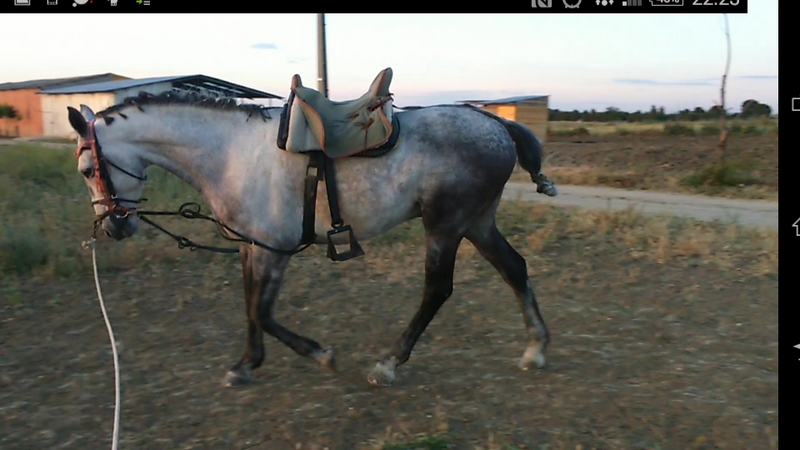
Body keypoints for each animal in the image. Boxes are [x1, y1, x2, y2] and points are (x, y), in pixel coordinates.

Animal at [67, 89, 558, 387]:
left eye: (88, 170)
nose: (113, 227)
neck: (230, 154)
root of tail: (496, 124)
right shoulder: (252, 247)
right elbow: (249, 304)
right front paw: (246, 365)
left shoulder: (276, 251)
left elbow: (262, 311)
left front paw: (320, 354)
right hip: (477, 222)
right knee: (514, 268)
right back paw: (535, 348)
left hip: (446, 225)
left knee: (437, 289)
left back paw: (388, 363)